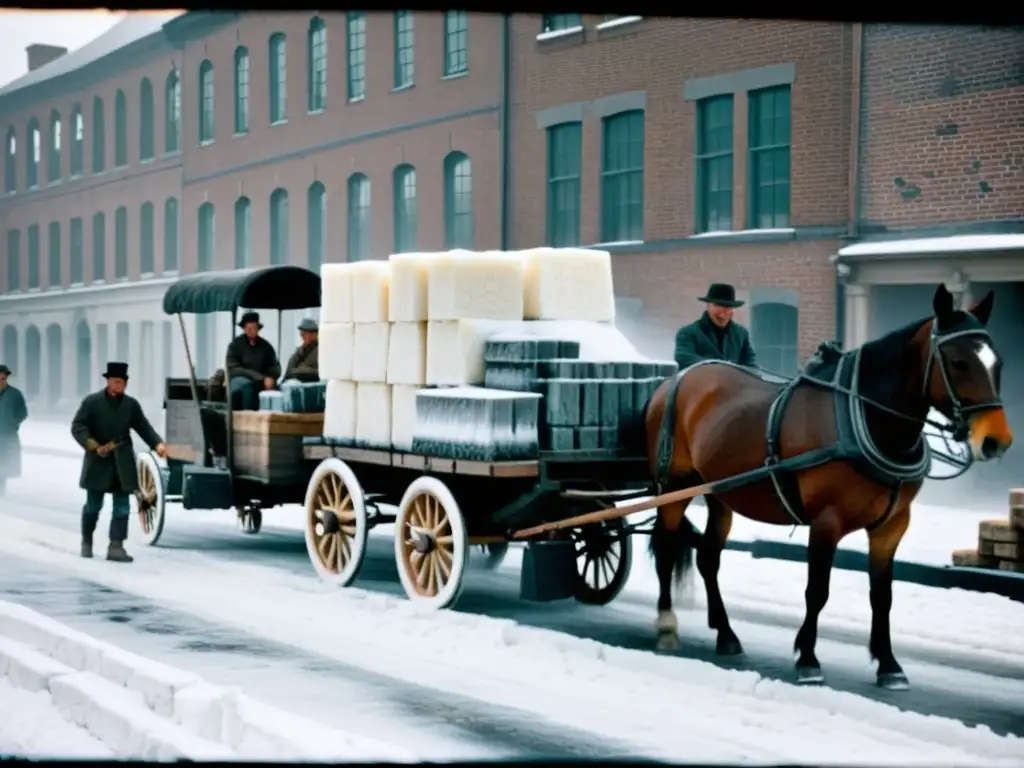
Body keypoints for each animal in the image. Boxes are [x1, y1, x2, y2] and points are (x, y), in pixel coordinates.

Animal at [643, 284, 1011, 692]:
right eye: (959, 362)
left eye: (998, 363)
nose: (995, 441)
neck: (866, 418)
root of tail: (677, 379)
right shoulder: (826, 521)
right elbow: (817, 590)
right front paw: (807, 659)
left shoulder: (891, 526)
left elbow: (882, 595)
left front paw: (888, 664)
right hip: (674, 485)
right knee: (666, 548)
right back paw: (666, 626)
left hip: (721, 493)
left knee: (709, 558)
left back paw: (725, 634)